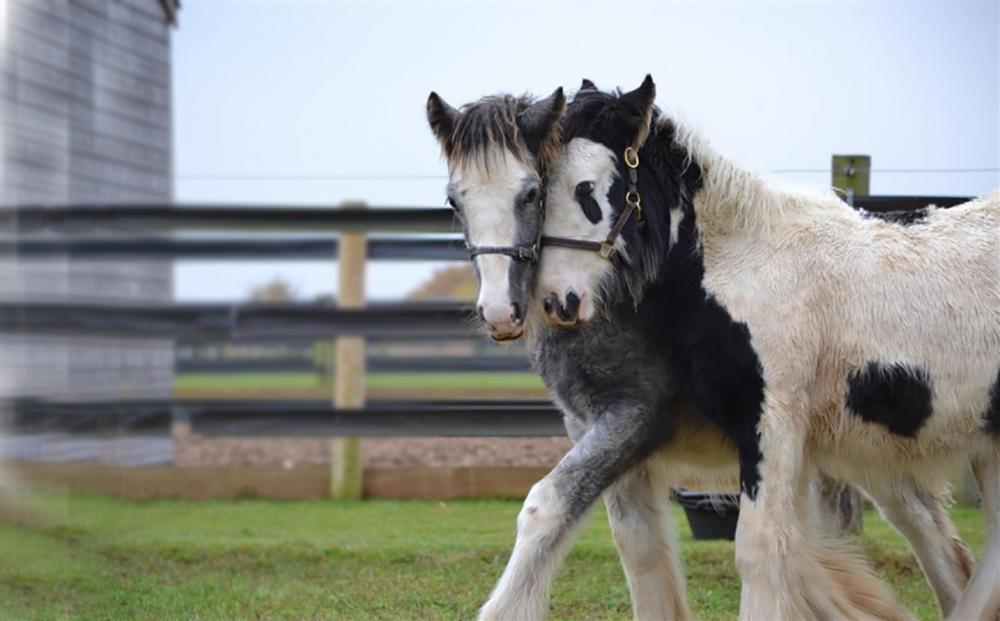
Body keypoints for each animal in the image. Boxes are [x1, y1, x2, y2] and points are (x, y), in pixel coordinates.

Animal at [538, 75, 998, 620]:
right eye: (538, 189)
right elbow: (796, 554)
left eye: (585, 189)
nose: (556, 301)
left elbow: (761, 550)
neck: (748, 264)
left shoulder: (771, 424)